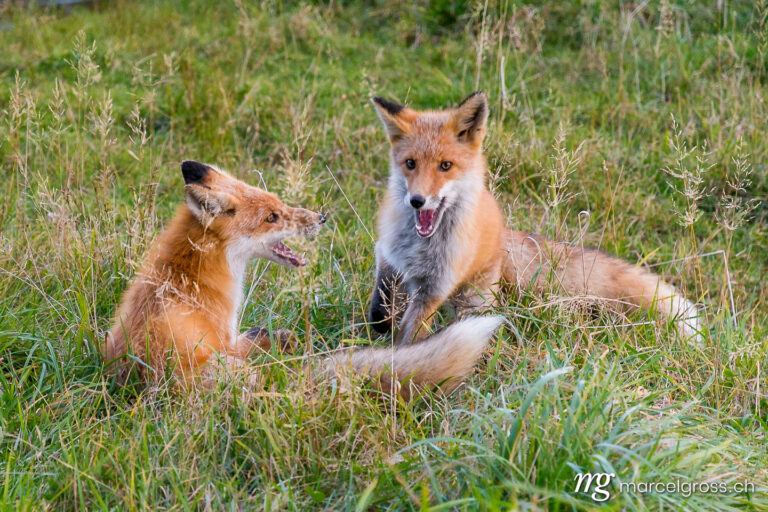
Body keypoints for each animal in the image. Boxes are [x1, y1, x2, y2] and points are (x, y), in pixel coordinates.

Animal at [103, 160, 504, 396]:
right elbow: (257, 339)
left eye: (278, 205)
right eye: (272, 218)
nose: (321, 217)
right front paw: (279, 338)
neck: (188, 270)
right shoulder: (224, 341)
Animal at [368, 94, 700, 346]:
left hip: (474, 300)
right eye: (410, 163)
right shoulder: (388, 255)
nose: (417, 200)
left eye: (445, 166)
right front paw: (381, 327)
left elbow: (410, 334)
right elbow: (381, 302)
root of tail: (502, 232)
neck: (419, 246)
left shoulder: (435, 286)